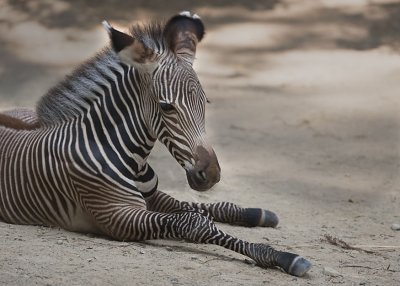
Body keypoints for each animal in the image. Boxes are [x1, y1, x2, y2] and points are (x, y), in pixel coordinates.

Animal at [0, 11, 312, 278]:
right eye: (166, 107)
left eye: (206, 103)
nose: (211, 174)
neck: (129, 157)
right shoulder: (116, 216)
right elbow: (194, 221)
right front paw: (282, 257)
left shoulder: (150, 196)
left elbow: (194, 208)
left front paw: (252, 214)